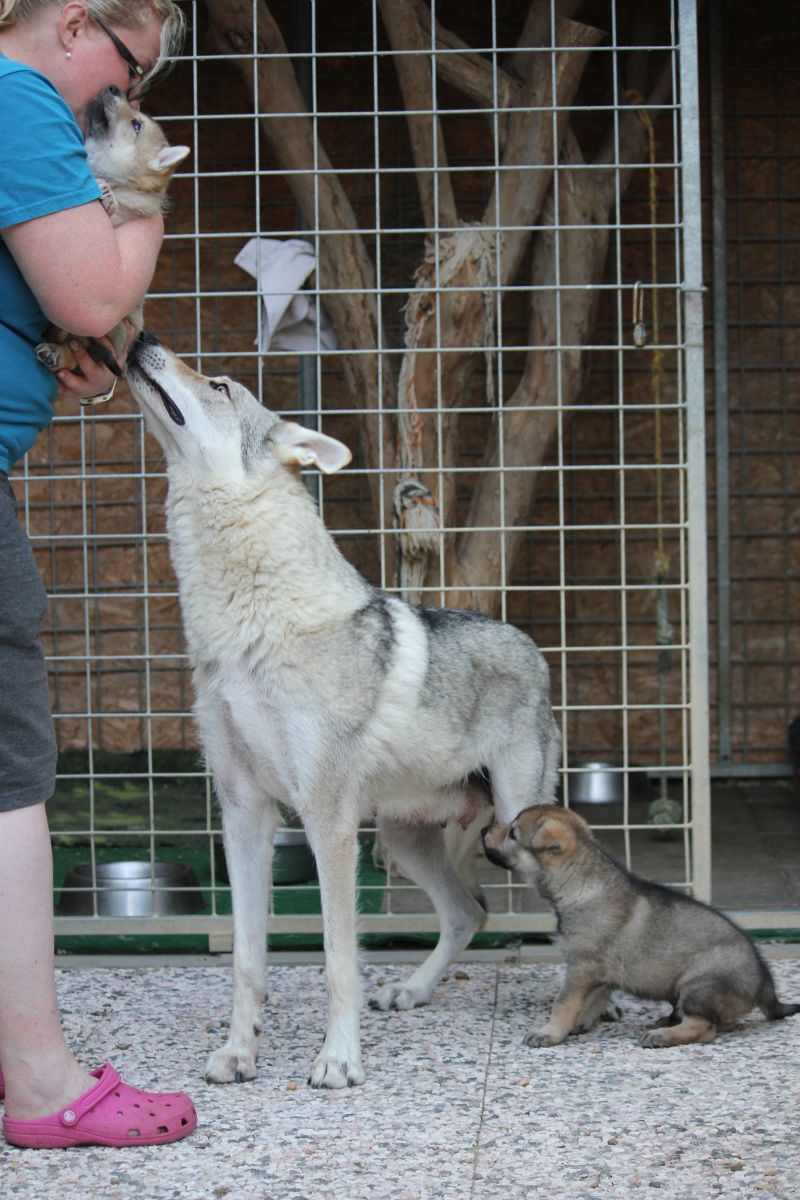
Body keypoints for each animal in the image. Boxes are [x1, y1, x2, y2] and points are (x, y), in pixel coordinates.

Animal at [35, 87, 190, 403]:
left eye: (136, 125)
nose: (114, 88)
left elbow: (110, 206)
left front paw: (106, 196)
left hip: (103, 330)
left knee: (78, 352)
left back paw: (57, 354)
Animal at [128, 336, 561, 1089]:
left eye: (218, 383)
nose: (140, 340)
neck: (246, 628)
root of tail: (532, 647)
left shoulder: (326, 820)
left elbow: (337, 960)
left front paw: (337, 1060)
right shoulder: (243, 815)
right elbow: (246, 959)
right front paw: (240, 1053)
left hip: (518, 828)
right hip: (404, 839)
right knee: (469, 912)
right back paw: (411, 990)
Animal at [482, 806, 800, 1051]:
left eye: (512, 833)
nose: (484, 828)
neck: (579, 881)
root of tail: (766, 985)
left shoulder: (581, 968)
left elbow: (563, 1003)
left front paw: (550, 1031)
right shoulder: (599, 974)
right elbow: (592, 1001)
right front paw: (577, 1024)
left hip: (698, 985)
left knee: (705, 1027)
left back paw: (663, 1035)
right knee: (720, 1022)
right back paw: (669, 1020)